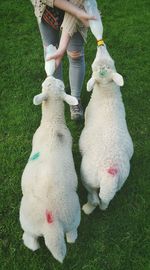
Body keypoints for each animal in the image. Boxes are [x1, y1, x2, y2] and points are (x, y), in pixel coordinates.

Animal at [20, 76, 81, 262]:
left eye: (59, 85)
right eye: (48, 84)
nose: (51, 76)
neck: (53, 123)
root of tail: (52, 226)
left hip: (28, 221)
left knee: (31, 241)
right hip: (72, 219)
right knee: (71, 236)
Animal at [79, 47, 134, 215]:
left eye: (110, 64)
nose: (101, 47)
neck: (106, 94)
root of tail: (108, 173)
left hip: (87, 176)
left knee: (94, 197)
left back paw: (87, 208)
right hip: (120, 182)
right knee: (105, 201)